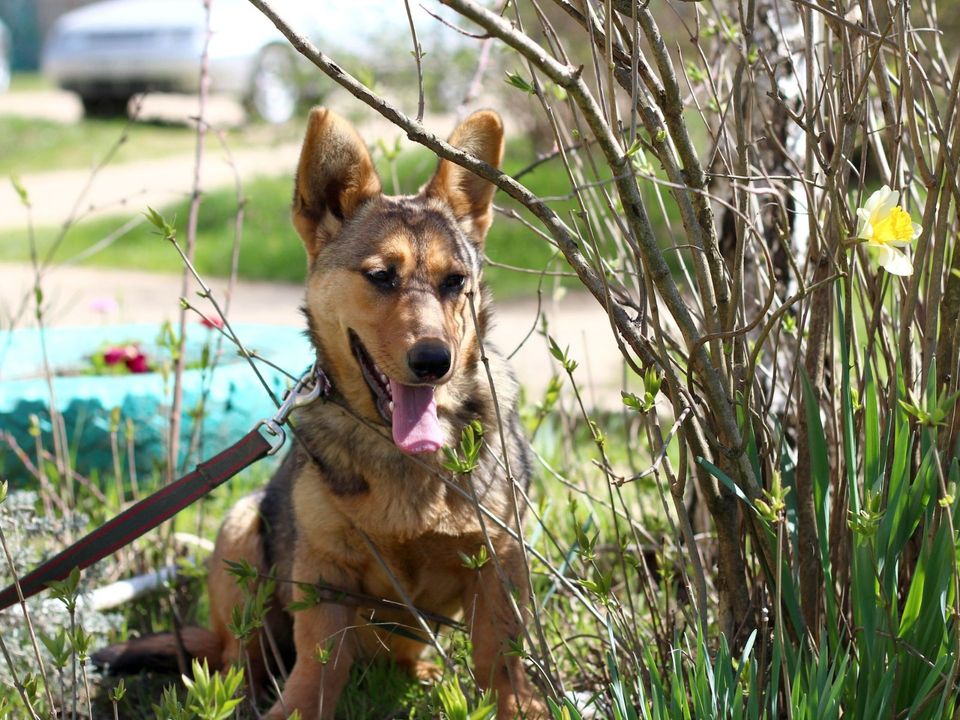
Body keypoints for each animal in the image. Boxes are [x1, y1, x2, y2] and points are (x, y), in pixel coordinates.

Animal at [98, 108, 552, 720]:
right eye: (381, 276)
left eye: (456, 282)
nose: (434, 361)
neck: (396, 452)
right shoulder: (323, 573)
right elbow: (318, 669)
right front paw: (291, 710)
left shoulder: (497, 561)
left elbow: (500, 657)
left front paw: (518, 704)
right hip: (241, 536)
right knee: (240, 659)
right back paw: (241, 697)